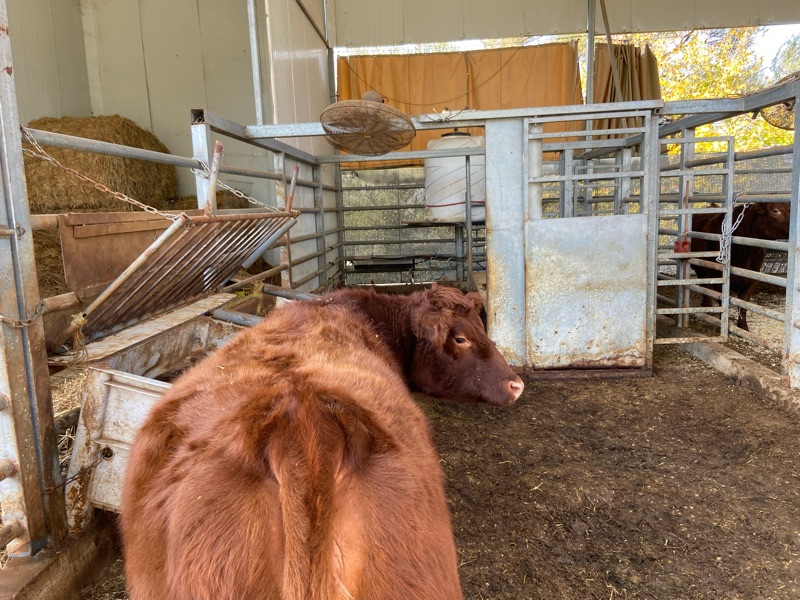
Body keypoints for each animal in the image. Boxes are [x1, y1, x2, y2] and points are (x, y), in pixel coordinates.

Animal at [689, 202, 790, 331]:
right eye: (775, 211)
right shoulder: (717, 275)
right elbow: (721, 300)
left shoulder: (753, 276)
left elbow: (743, 303)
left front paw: (743, 327)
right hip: (699, 266)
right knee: (704, 283)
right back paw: (706, 305)